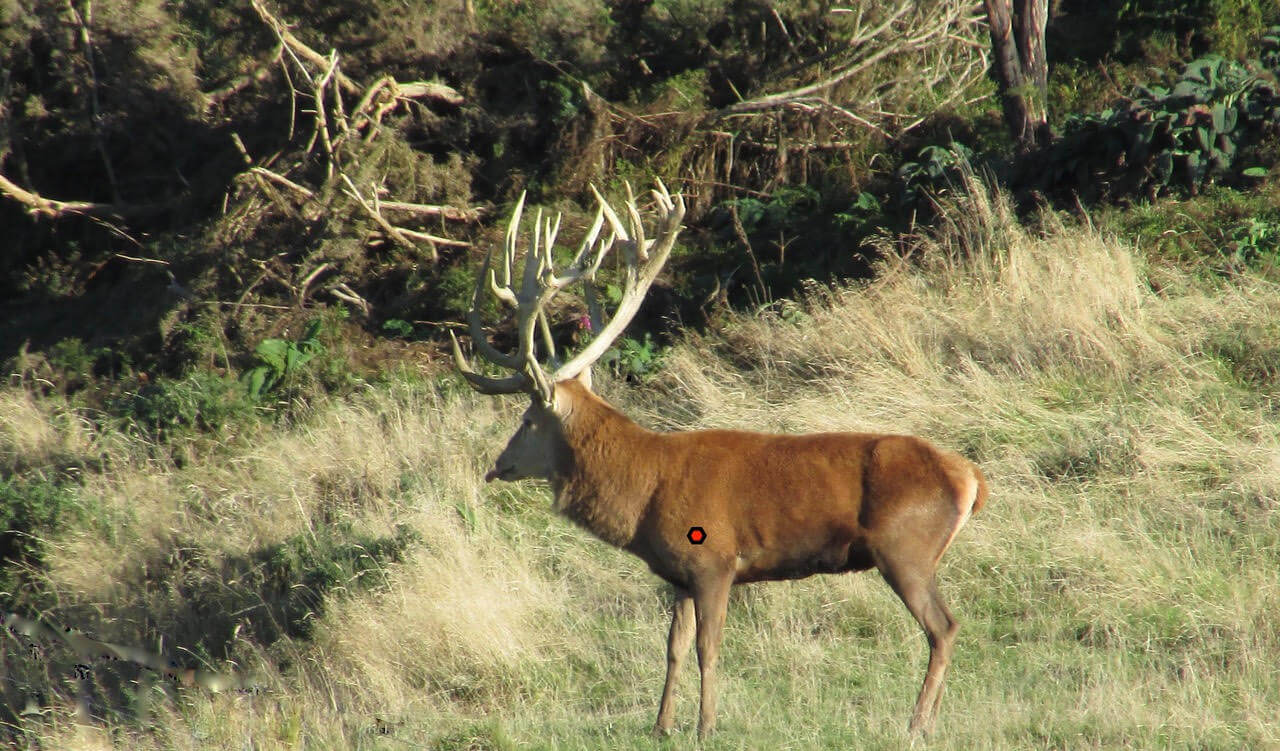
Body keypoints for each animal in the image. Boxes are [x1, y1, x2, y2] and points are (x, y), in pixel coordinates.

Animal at [450, 182, 989, 739]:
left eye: (527, 420)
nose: (497, 465)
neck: (645, 490)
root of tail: (971, 479)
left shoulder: (714, 559)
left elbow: (708, 649)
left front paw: (706, 726)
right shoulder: (680, 576)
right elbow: (673, 650)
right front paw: (661, 725)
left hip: (905, 548)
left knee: (943, 627)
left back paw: (917, 723)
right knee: (946, 627)